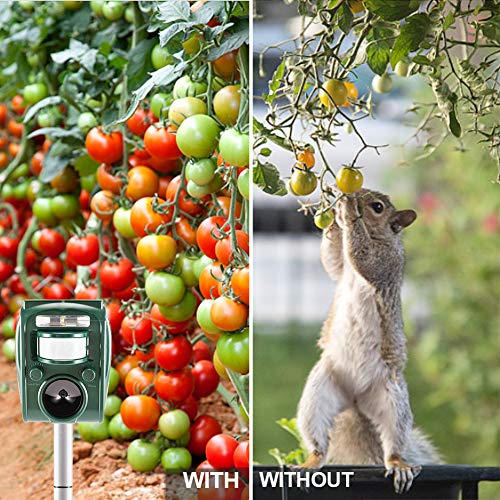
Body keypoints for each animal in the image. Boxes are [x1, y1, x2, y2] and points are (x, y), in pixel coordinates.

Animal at [294, 188, 440, 492]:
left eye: (377, 207)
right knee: (317, 439)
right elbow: (331, 260)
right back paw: (310, 462)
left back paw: (399, 465)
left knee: (393, 443)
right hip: (320, 391)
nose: (347, 195)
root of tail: (356, 400)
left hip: (394, 401)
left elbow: (365, 258)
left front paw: (348, 211)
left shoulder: (386, 261)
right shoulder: (340, 266)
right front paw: (330, 216)